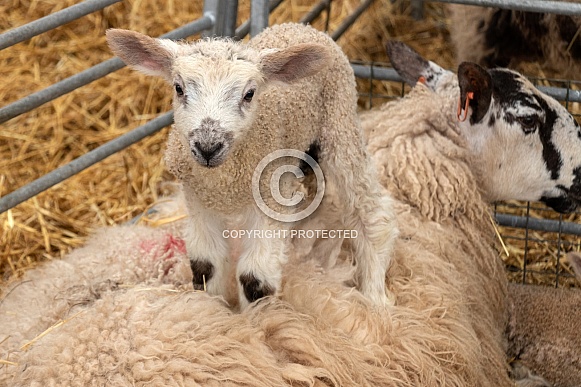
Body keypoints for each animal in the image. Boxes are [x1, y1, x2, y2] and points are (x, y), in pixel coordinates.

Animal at [105, 22, 398, 310]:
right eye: (179, 88)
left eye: (249, 94)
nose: (208, 146)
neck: (224, 183)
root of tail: (302, 26)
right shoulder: (199, 198)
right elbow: (206, 264)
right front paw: (215, 311)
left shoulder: (269, 200)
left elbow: (255, 279)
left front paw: (256, 320)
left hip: (339, 123)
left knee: (371, 210)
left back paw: (375, 296)